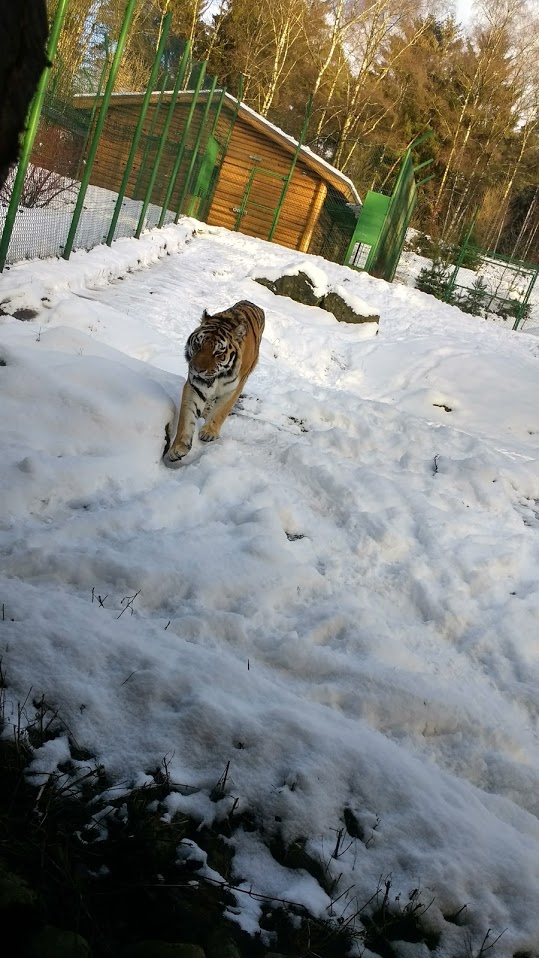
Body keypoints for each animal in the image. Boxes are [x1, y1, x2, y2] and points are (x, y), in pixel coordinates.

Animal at [166, 300, 265, 462]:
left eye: (218, 353)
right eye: (198, 345)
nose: (197, 369)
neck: (217, 377)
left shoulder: (234, 388)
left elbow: (221, 410)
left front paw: (209, 433)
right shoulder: (195, 385)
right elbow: (186, 416)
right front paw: (177, 448)